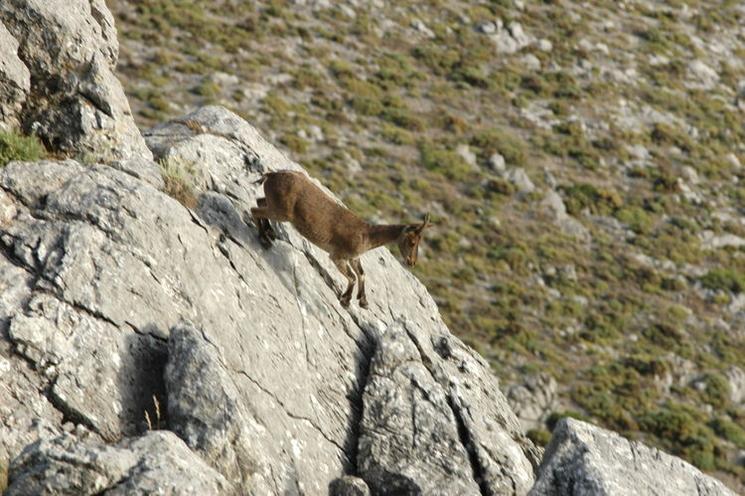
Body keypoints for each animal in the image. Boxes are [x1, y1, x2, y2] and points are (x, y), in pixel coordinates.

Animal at [251, 171, 430, 310]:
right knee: (255, 210)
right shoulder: (338, 256)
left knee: (259, 201)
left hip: (275, 204)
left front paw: (363, 301)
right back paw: (264, 239)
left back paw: (269, 232)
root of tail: (272, 175)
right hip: (281, 212)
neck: (366, 235)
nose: (412, 262)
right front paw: (346, 300)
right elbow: (352, 277)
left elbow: (361, 274)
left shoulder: (353, 258)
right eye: (412, 242)